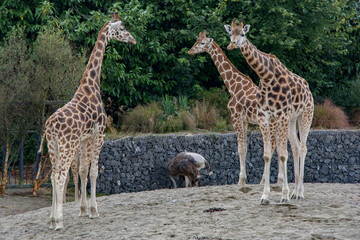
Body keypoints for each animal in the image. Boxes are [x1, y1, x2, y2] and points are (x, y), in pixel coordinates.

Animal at [38, 12, 136, 230]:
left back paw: (52, 219)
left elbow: (83, 170)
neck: (92, 85)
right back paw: (59, 222)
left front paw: (82, 210)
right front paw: (93, 211)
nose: (133, 39)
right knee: (60, 176)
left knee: (53, 175)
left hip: (53, 146)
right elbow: (93, 172)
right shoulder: (99, 133)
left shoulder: (84, 139)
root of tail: (50, 126)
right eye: (122, 28)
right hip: (66, 146)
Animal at [188, 31, 262, 187]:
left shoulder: (235, 117)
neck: (233, 86)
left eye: (202, 43)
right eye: (196, 40)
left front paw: (241, 180)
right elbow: (245, 148)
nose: (190, 51)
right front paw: (243, 180)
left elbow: (240, 149)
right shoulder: (244, 120)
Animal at [224, 21, 314, 204]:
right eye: (230, 34)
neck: (266, 77)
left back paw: (299, 192)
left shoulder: (281, 115)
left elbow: (282, 154)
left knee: (303, 148)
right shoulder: (264, 117)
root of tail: (308, 89)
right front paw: (265, 196)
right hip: (292, 119)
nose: (231, 45)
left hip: (305, 115)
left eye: (242, 34)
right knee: (296, 147)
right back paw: (295, 191)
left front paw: (284, 195)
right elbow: (267, 155)